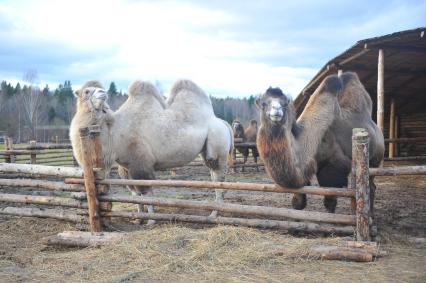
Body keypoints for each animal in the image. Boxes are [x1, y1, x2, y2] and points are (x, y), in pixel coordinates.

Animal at [258, 72, 384, 214]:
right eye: (263, 103)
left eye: (284, 104)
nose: (276, 111)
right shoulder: (303, 172)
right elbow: (298, 202)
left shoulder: (334, 166)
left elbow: (329, 201)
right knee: (371, 186)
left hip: (374, 160)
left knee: (370, 184)